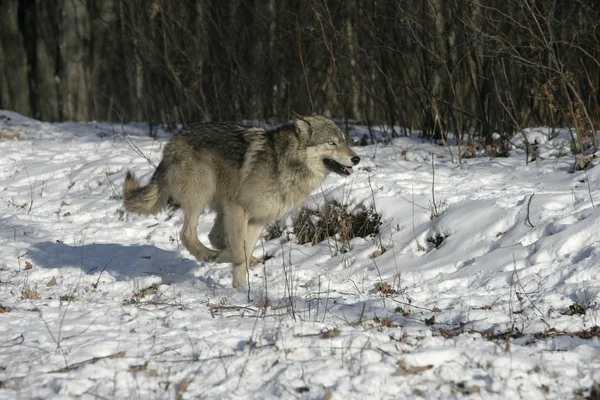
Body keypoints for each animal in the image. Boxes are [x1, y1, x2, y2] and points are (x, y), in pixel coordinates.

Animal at [121, 114, 356, 290]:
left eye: (344, 141)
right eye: (331, 142)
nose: (356, 158)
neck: (284, 164)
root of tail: (172, 141)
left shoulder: (258, 220)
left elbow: (242, 253)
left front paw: (241, 290)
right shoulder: (238, 208)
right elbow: (238, 252)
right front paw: (223, 261)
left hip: (219, 204)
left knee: (213, 236)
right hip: (203, 190)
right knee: (188, 233)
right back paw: (209, 254)